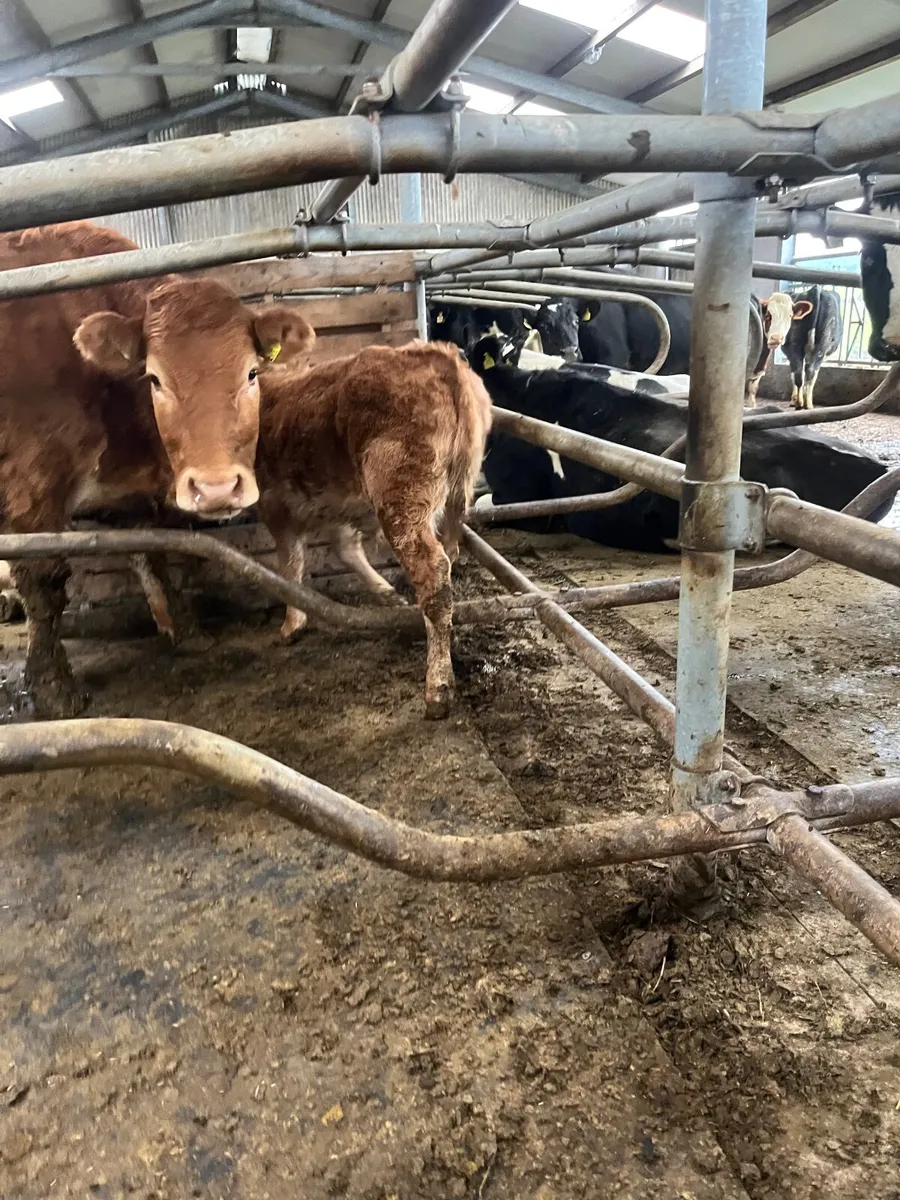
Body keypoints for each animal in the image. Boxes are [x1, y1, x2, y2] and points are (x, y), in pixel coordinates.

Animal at [0, 220, 315, 717]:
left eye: (251, 374)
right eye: (154, 378)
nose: (217, 488)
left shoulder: (125, 494)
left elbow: (151, 551)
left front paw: (185, 630)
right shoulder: (31, 491)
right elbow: (44, 583)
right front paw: (53, 688)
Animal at [255, 340, 491, 719]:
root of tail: (437, 355)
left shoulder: (274, 504)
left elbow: (290, 563)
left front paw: (293, 621)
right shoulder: (333, 502)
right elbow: (344, 547)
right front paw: (386, 594)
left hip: (401, 499)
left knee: (432, 571)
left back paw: (438, 688)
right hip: (456, 497)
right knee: (447, 564)